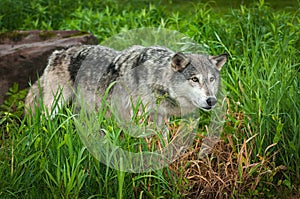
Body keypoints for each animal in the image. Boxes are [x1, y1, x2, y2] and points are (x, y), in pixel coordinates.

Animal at [25, 45, 227, 124]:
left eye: (211, 79)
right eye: (194, 79)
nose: (212, 101)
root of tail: (58, 52)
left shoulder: (160, 117)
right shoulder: (136, 117)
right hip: (54, 106)